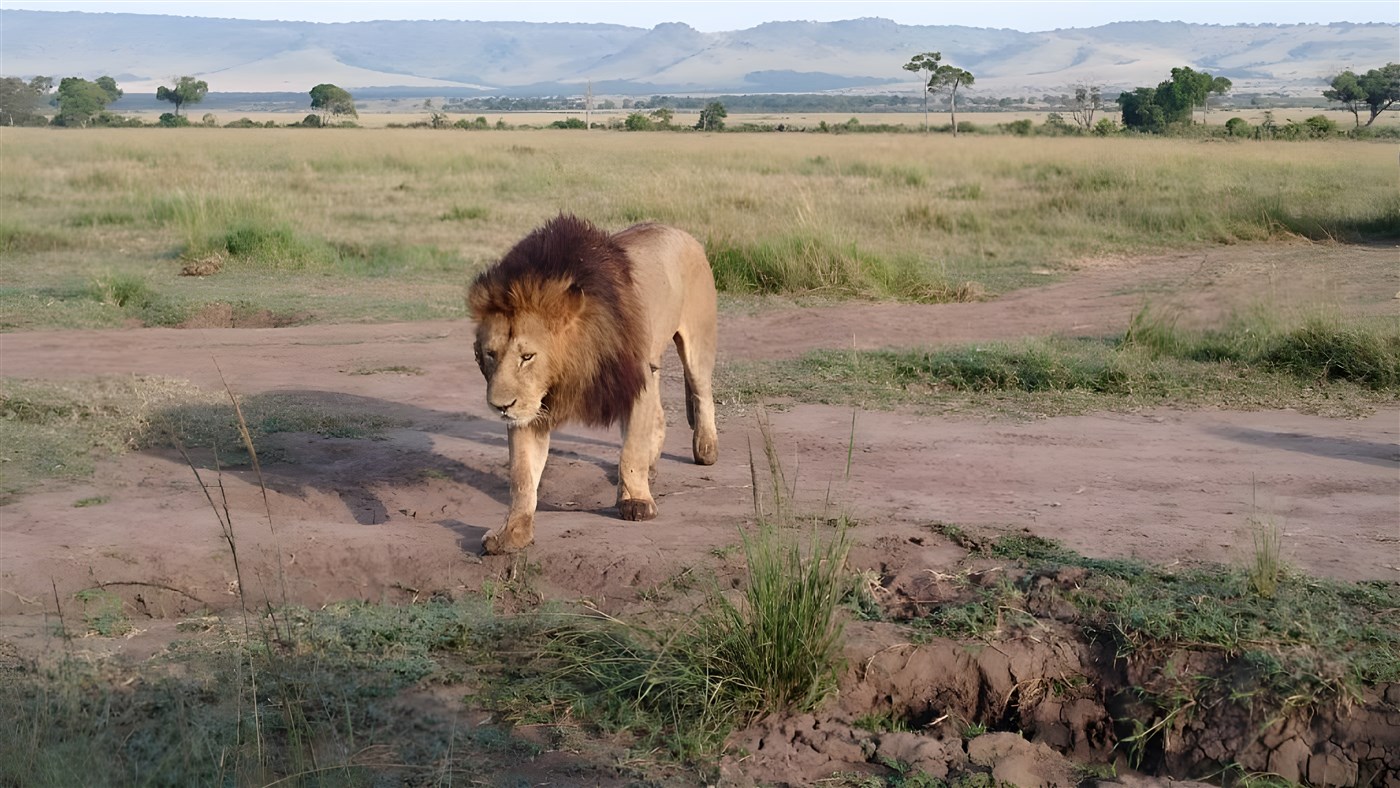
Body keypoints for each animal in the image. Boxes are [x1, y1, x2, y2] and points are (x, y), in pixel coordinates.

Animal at [467, 214, 719, 554]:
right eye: (490, 354)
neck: (566, 371)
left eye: (527, 356)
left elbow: (631, 451)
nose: (500, 406)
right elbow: (522, 475)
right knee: (660, 416)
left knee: (702, 393)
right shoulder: (530, 408)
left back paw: (705, 449)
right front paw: (512, 534)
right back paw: (653, 466)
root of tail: (680, 231)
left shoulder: (632, 381)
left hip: (697, 340)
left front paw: (636, 502)